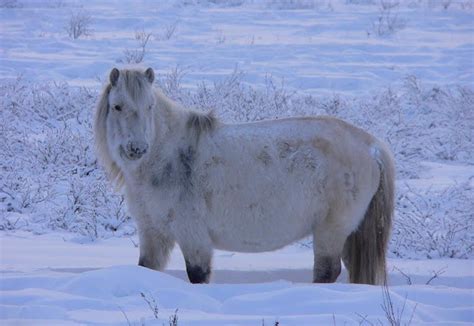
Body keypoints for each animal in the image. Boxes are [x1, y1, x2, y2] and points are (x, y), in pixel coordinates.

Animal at [94, 67, 394, 286]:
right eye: (117, 106)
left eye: (150, 106)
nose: (137, 148)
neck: (168, 157)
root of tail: (371, 145)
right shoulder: (153, 234)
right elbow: (147, 269)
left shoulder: (193, 235)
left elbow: (197, 275)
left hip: (331, 230)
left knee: (326, 272)